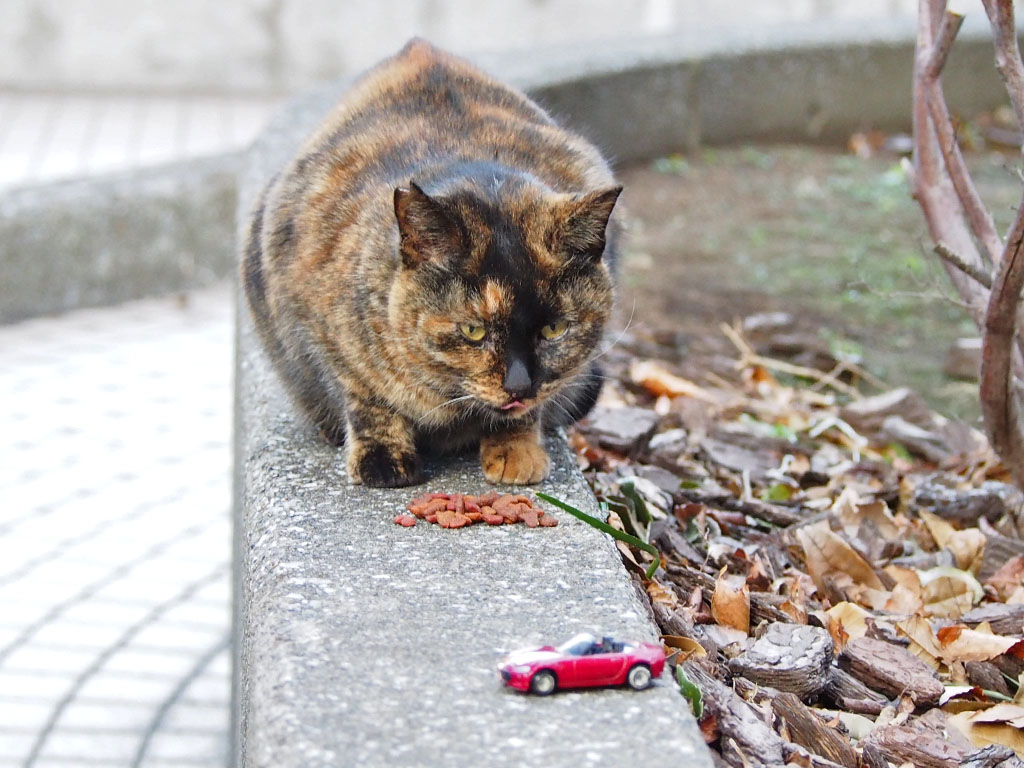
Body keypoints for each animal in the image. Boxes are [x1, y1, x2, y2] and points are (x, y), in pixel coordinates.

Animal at [241, 37, 622, 487]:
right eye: (473, 331)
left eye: (554, 329)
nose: (519, 386)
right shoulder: (319, 322)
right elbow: (365, 397)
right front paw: (383, 458)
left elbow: (527, 414)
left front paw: (515, 450)